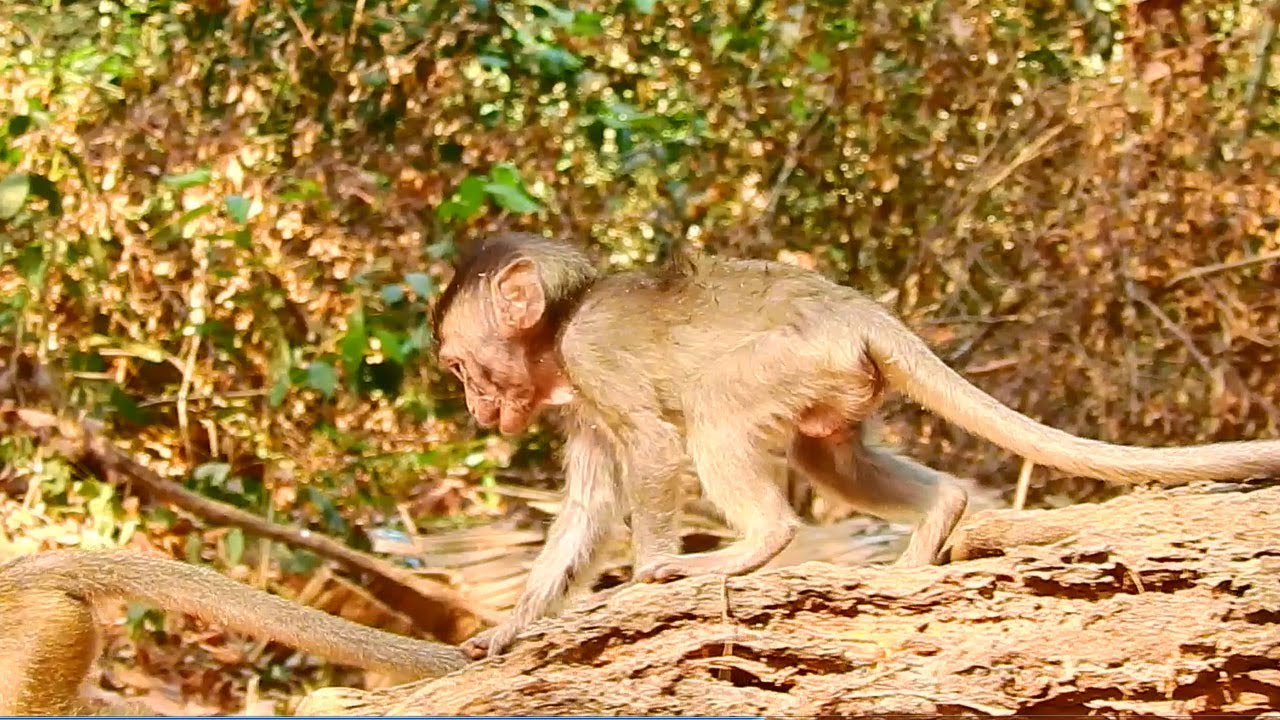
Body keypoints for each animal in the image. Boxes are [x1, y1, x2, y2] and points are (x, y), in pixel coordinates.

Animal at [431, 232, 1280, 658]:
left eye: (459, 367)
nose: (476, 405)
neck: (560, 325)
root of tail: (853, 309)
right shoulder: (576, 399)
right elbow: (588, 507)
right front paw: (510, 629)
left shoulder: (592, 356)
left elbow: (656, 453)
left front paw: (645, 578)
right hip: (833, 376)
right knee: (825, 456)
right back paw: (938, 517)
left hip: (790, 356)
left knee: (718, 412)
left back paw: (755, 543)